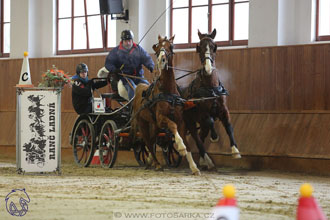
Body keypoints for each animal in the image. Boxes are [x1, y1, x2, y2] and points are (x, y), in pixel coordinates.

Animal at [130, 34, 200, 175]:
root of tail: (138, 89)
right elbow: (173, 126)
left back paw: (151, 161)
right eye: (157, 48)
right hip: (143, 124)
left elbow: (186, 141)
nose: (161, 60)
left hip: (154, 125)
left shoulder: (180, 120)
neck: (168, 91)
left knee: (152, 141)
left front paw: (194, 167)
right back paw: (156, 164)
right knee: (148, 142)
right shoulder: (162, 118)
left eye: (170, 46)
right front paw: (181, 147)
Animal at [182, 28, 241, 170]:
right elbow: (211, 121)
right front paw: (214, 137)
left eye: (214, 47)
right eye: (199, 47)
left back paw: (204, 160)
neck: (211, 88)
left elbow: (229, 126)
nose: (208, 69)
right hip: (189, 121)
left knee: (201, 135)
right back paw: (206, 159)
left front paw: (235, 151)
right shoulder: (203, 113)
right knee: (196, 136)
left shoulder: (223, 109)